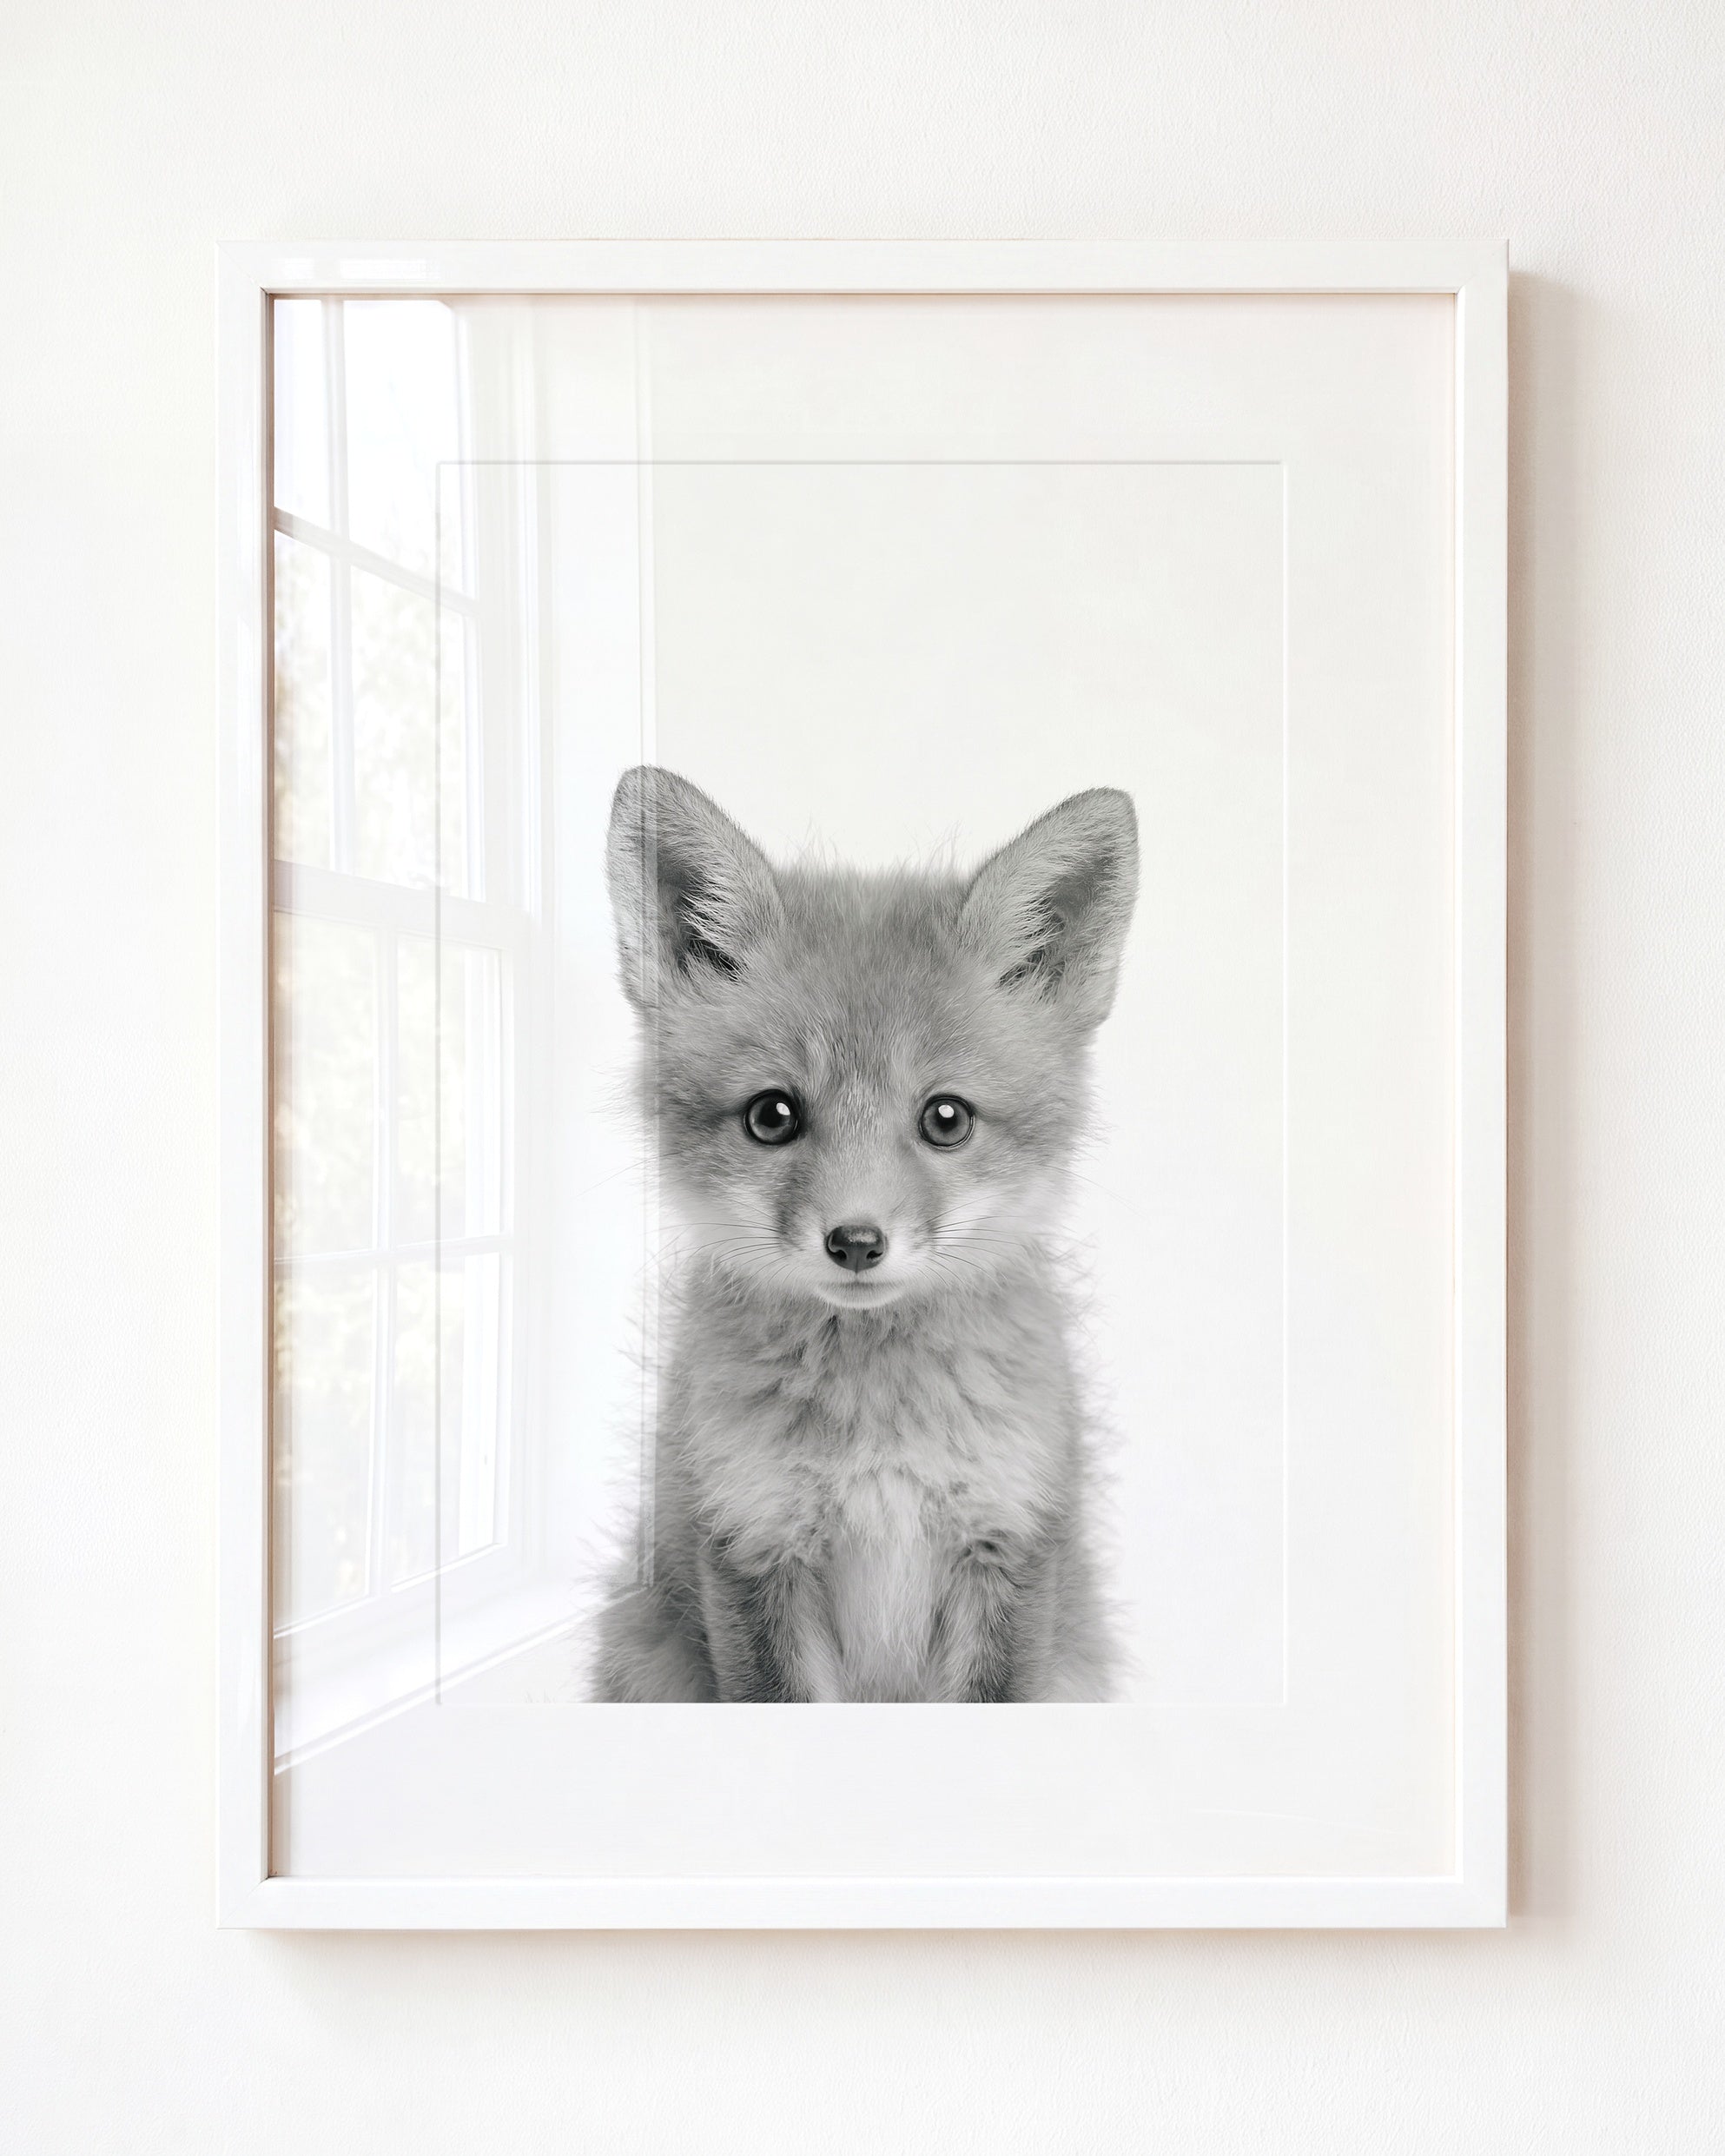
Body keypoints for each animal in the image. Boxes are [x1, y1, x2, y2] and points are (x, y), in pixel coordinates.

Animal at [590, 764, 1139, 1703]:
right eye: (772, 1116)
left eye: (946, 1119)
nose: (854, 1242)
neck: (878, 1437)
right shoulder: (751, 1545)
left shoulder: (1009, 1541)